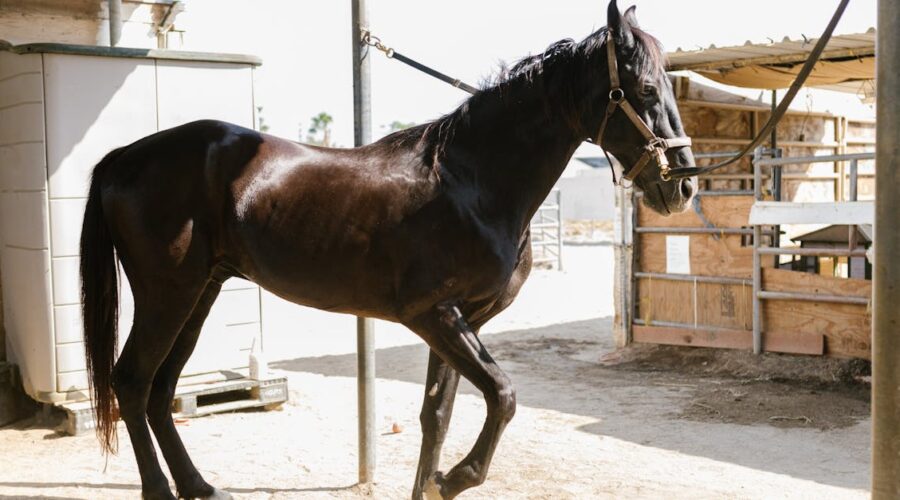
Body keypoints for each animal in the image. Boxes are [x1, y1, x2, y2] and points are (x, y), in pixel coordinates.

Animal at [79, 2, 695, 498]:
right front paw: (453, 479)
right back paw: (162, 489)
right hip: (167, 294)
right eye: (644, 89)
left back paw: (200, 487)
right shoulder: (435, 316)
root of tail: (123, 156)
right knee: (132, 381)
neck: (471, 181)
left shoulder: (464, 321)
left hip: (200, 292)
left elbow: (437, 414)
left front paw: (430, 483)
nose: (683, 185)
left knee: (161, 389)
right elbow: (502, 396)